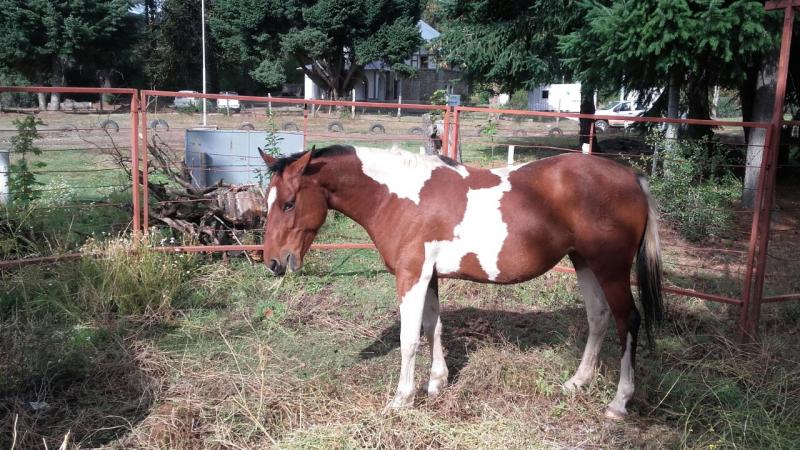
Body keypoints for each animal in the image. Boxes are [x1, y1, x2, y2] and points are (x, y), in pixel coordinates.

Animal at [258, 144, 664, 418]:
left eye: (289, 203)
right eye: (269, 201)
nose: (274, 262)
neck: (400, 196)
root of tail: (631, 177)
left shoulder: (412, 275)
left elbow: (409, 339)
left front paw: (401, 399)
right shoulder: (430, 276)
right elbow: (433, 326)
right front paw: (436, 383)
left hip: (610, 269)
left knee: (628, 321)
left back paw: (619, 402)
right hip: (584, 263)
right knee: (598, 318)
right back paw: (577, 383)